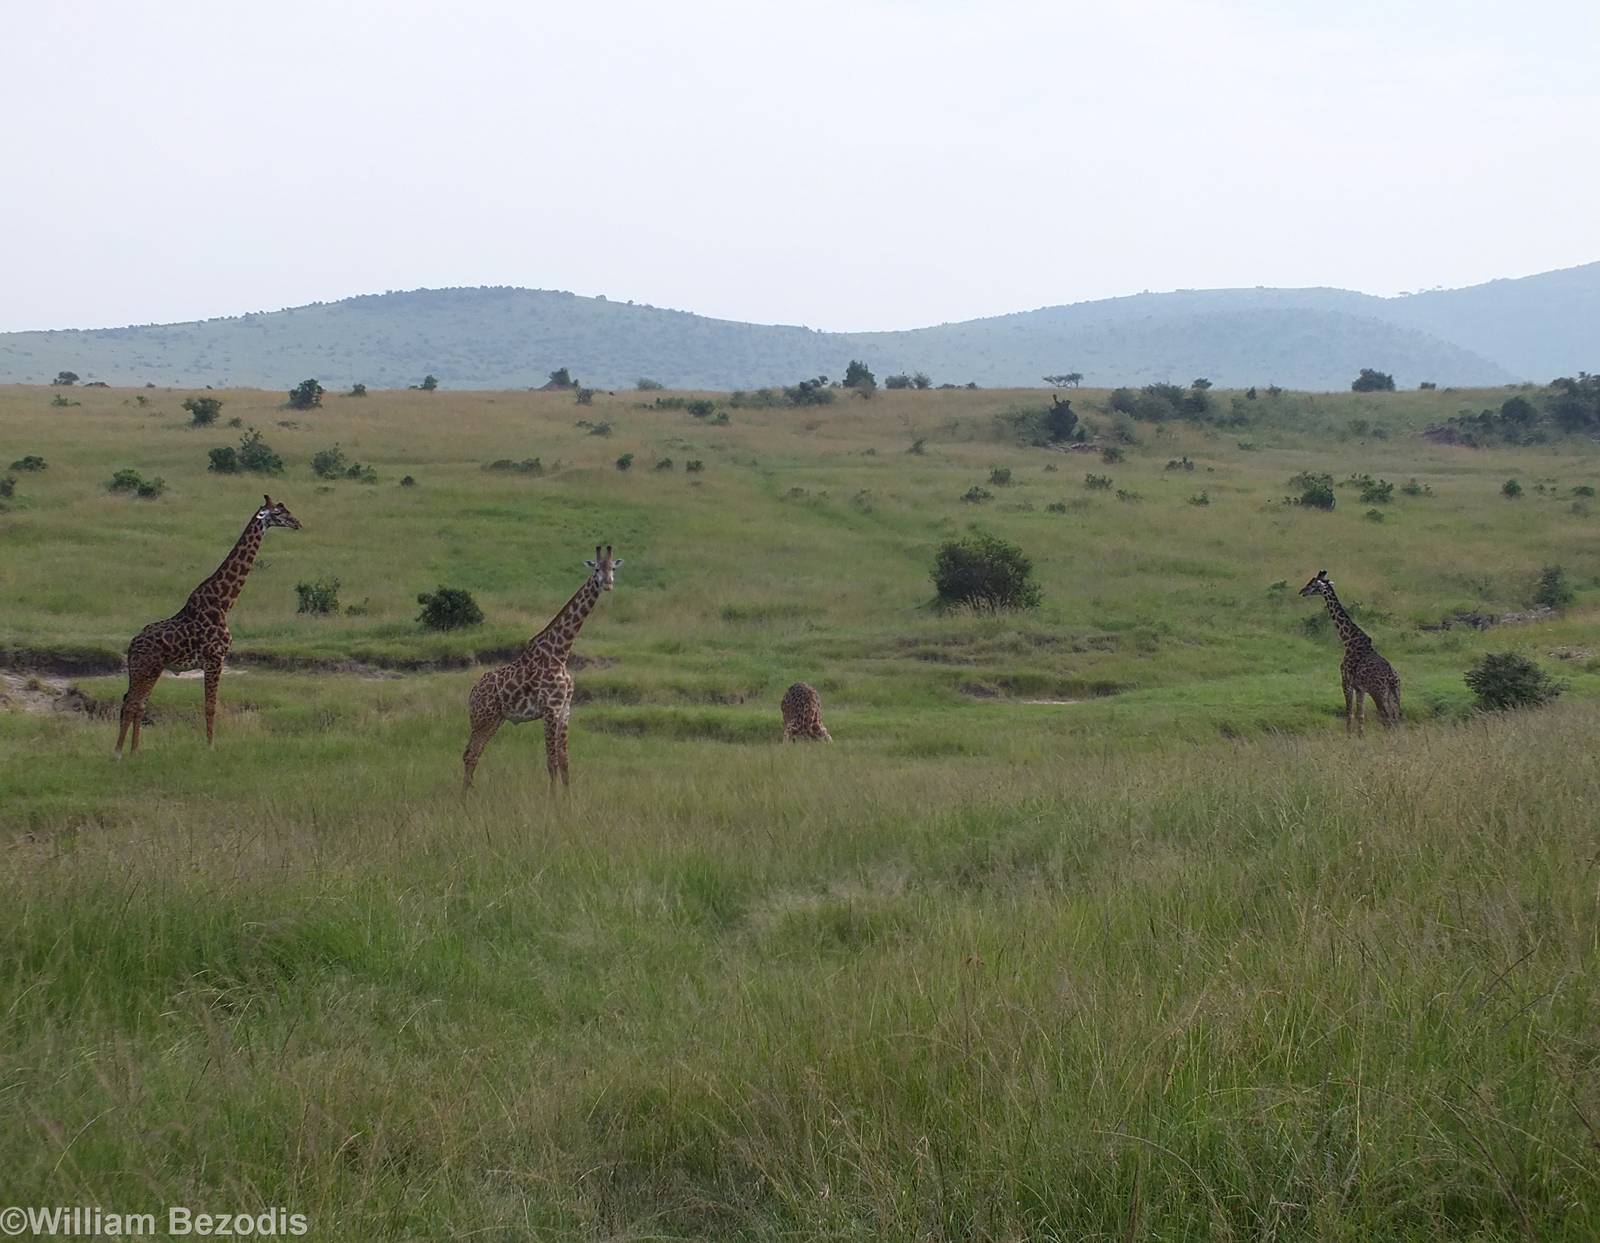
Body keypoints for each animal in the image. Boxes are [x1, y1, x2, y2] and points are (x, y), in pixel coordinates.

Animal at [115, 495, 302, 758]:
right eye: (277, 513)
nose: (297, 523)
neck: (224, 602)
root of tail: (132, 645)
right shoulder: (215, 658)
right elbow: (210, 706)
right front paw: (211, 746)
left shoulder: (212, 661)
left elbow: (209, 705)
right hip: (147, 668)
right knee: (132, 703)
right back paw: (118, 753)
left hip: (146, 669)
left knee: (137, 703)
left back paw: (135, 751)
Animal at [461, 544, 623, 791]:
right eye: (596, 568)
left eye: (613, 567)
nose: (607, 583)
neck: (560, 653)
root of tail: (473, 692)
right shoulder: (550, 709)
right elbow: (551, 760)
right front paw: (553, 798)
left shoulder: (565, 709)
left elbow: (565, 760)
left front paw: (568, 797)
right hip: (483, 718)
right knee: (471, 754)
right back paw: (465, 797)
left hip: (496, 719)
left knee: (472, 753)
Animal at [1299, 569, 1401, 735]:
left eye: (1312, 585)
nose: (1302, 591)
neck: (1348, 640)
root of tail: (1392, 678)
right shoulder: (1360, 688)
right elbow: (1360, 715)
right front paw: (1360, 736)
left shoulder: (1346, 682)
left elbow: (1349, 713)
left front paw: (1349, 735)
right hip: (1396, 693)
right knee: (1396, 718)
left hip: (1379, 693)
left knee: (1388, 719)